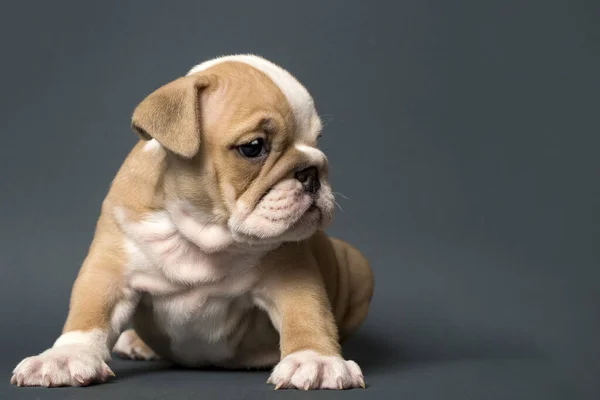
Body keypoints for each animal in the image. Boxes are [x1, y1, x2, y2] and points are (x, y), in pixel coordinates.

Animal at [11, 54, 372, 390]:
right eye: (254, 147)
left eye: (316, 141)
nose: (312, 171)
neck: (199, 231)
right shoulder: (110, 269)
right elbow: (89, 314)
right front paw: (63, 357)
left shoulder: (291, 272)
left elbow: (308, 314)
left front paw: (315, 359)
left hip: (358, 264)